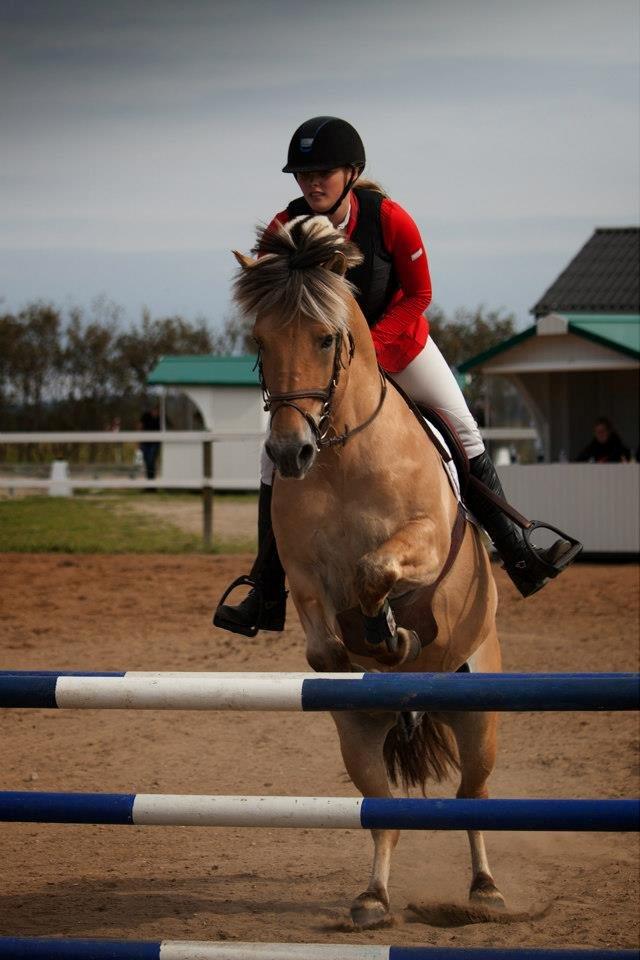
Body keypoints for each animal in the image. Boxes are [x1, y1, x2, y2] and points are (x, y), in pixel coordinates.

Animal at [232, 218, 502, 928]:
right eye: (260, 341)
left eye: (326, 338)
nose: (288, 453)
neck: (342, 453)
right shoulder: (302, 575)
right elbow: (325, 641)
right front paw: (371, 644)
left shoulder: (426, 540)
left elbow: (378, 567)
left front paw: (393, 632)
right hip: (358, 741)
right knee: (382, 814)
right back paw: (374, 898)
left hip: (480, 712)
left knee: (474, 795)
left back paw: (485, 889)